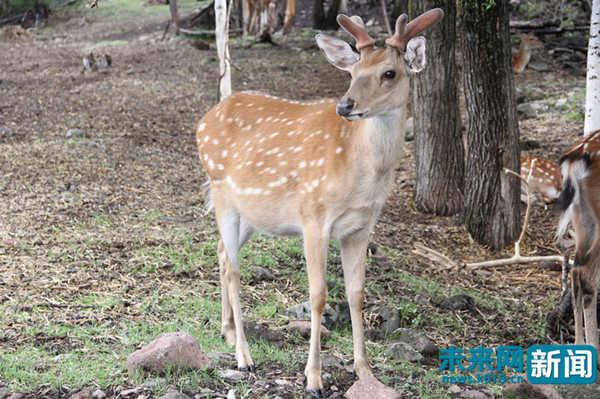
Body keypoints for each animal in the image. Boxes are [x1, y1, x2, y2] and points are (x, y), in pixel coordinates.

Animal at [195, 8, 442, 396]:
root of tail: (204, 119)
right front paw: (313, 378)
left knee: (221, 253)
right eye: (353, 72)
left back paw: (228, 331)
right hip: (222, 195)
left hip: (251, 213)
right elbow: (318, 295)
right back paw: (244, 356)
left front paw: (364, 369)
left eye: (389, 73)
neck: (363, 178)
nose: (346, 105)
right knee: (233, 268)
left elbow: (356, 294)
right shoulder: (313, 217)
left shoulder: (361, 227)